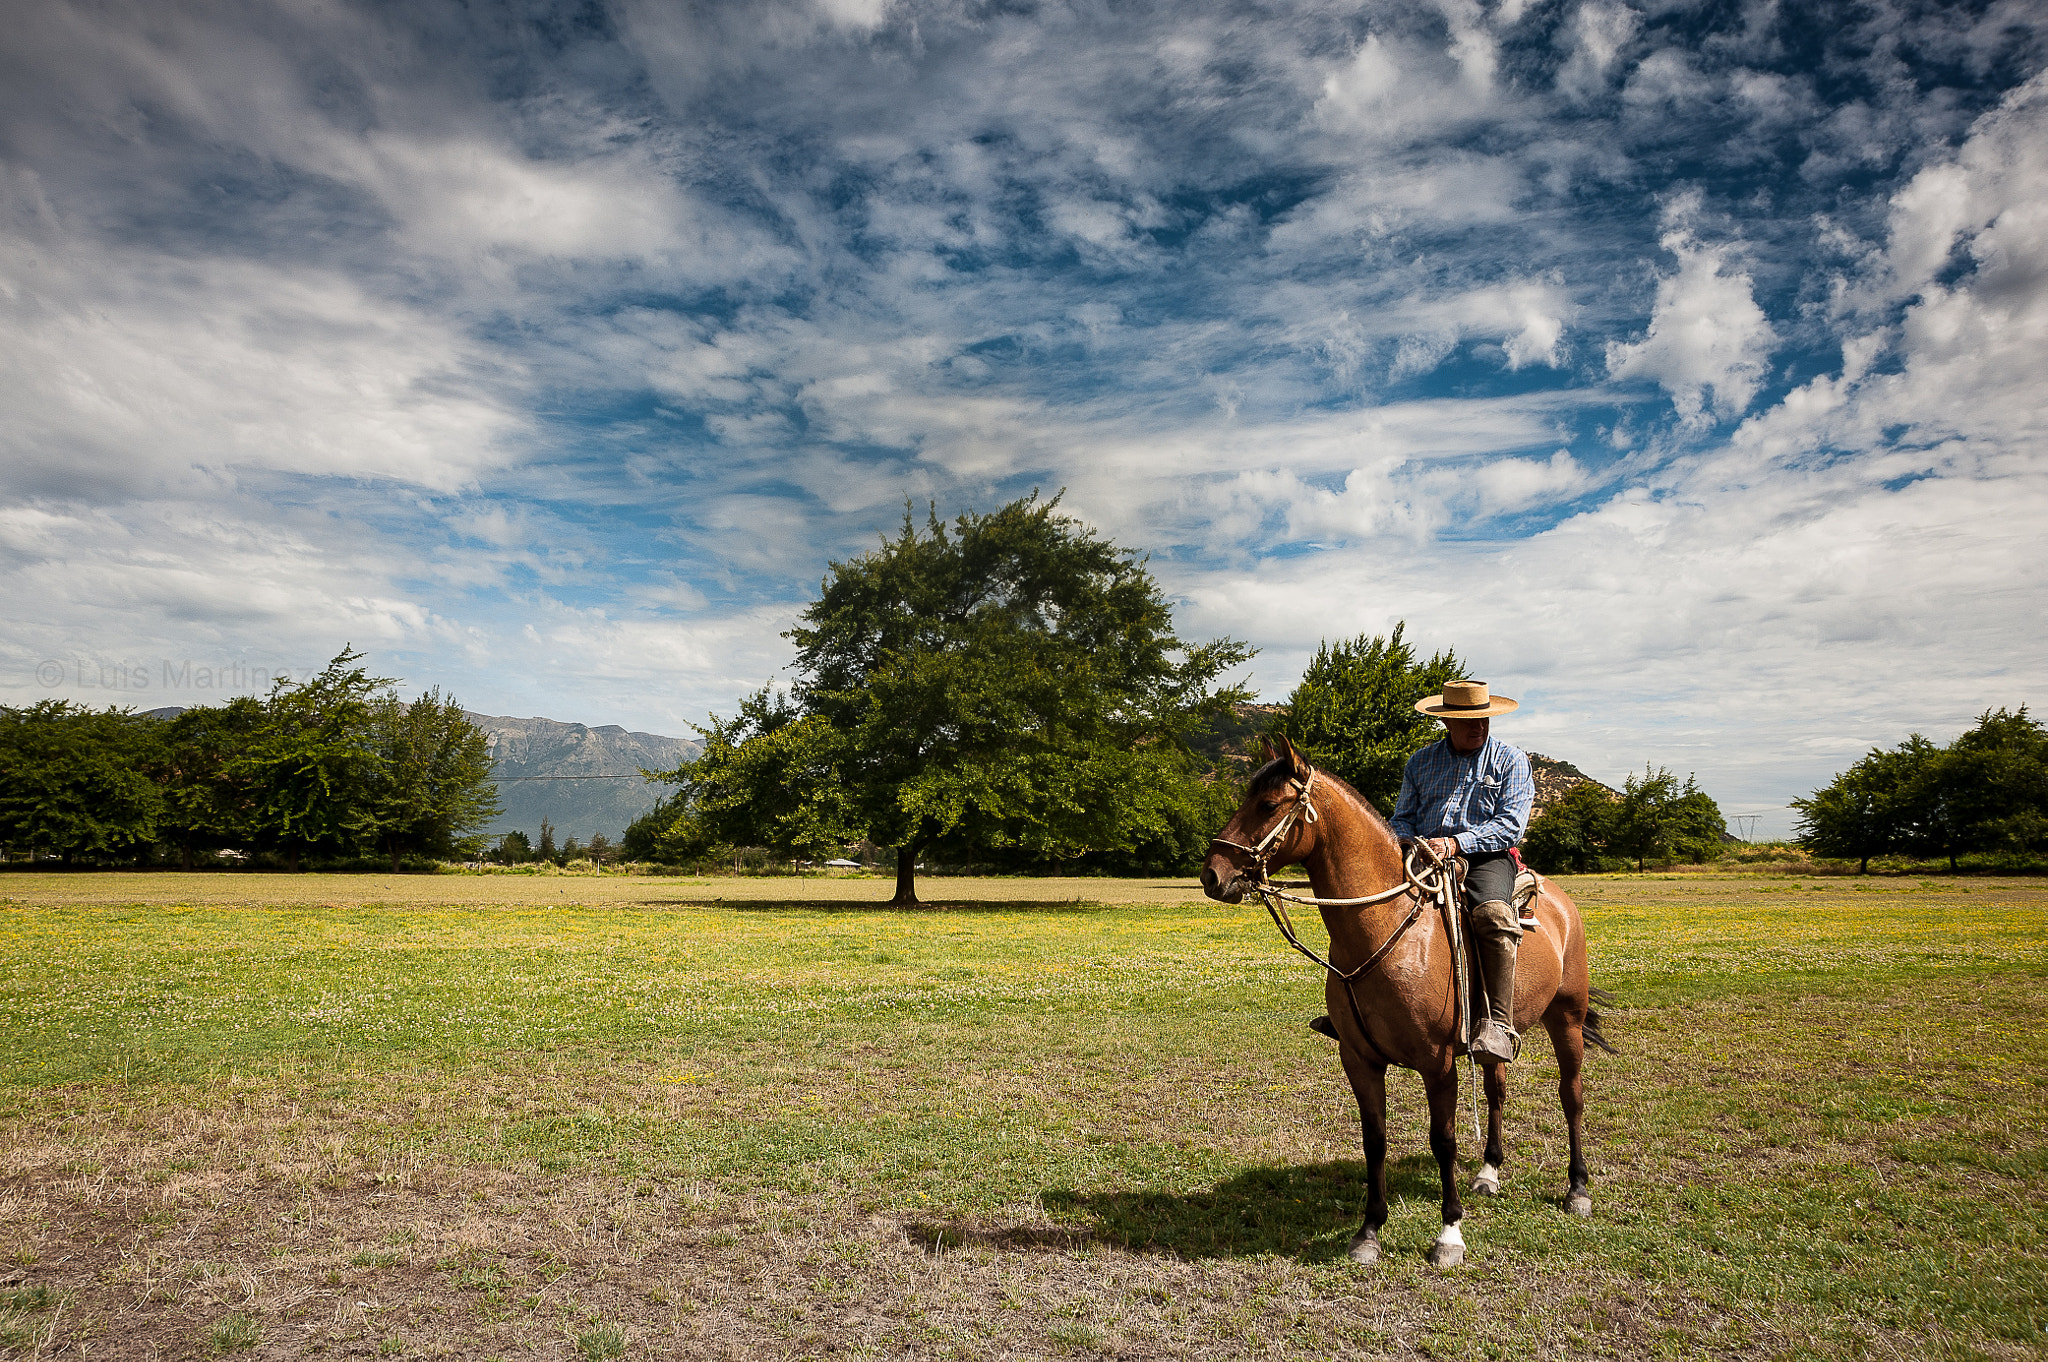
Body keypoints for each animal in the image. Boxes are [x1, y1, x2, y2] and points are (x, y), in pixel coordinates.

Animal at [1196, 733, 1613, 1261]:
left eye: (1269, 805)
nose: (1212, 874)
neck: (1386, 930)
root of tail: (1562, 904)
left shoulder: (1438, 1062)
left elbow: (1444, 1140)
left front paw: (1450, 1233)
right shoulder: (1359, 1058)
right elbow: (1374, 1138)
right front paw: (1369, 1231)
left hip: (1567, 1017)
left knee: (1571, 1095)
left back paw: (1578, 1189)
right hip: (1498, 1035)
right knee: (1497, 1089)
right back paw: (1489, 1172)